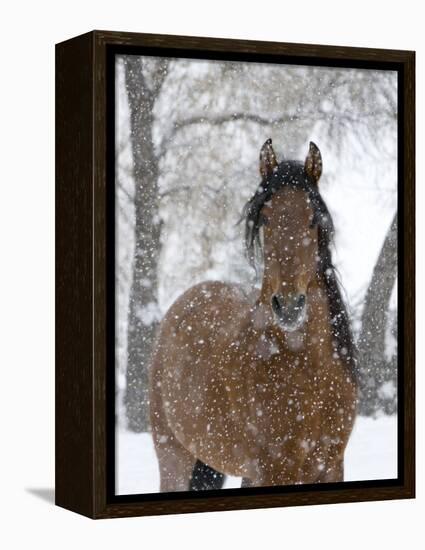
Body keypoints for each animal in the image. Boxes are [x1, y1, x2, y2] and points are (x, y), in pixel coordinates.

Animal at [149, 138, 358, 492]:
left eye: (312, 219)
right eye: (266, 220)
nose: (288, 306)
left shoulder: (330, 467)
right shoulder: (274, 470)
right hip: (174, 456)